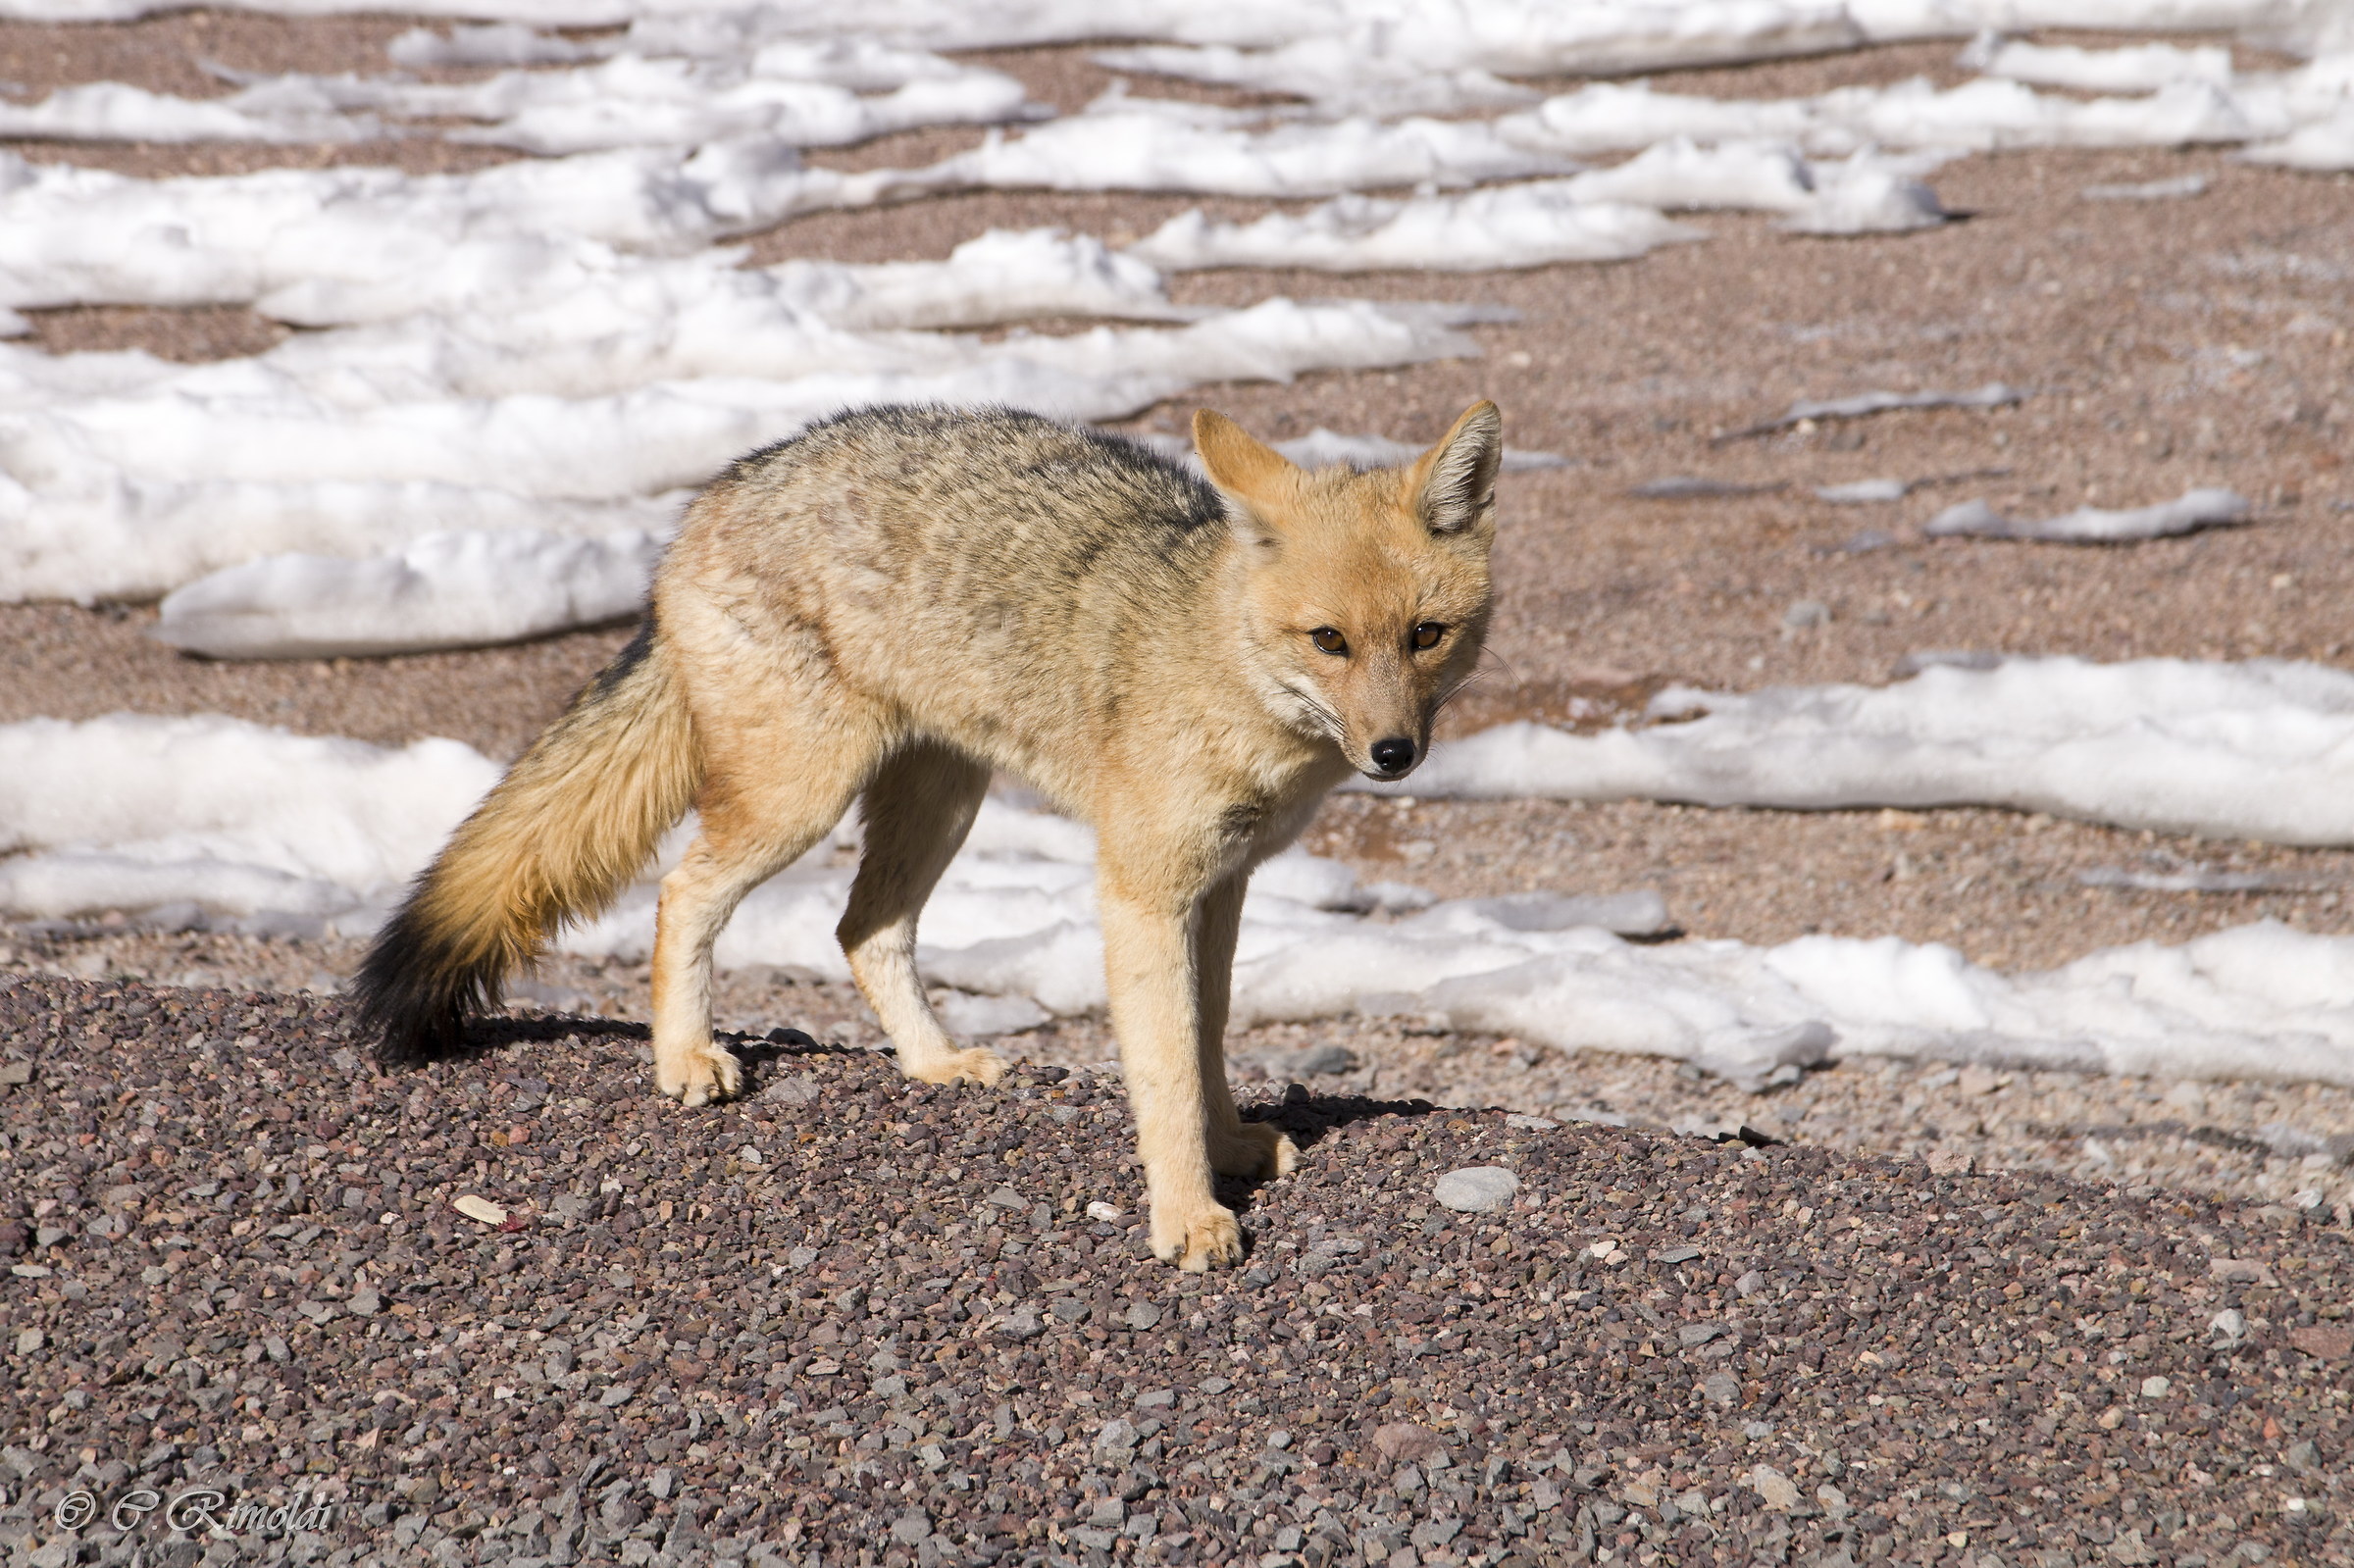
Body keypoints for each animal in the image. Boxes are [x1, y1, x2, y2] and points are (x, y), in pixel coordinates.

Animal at [353, 399, 1502, 1270]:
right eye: (1329, 641)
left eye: (1425, 636)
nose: (1395, 753)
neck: (1216, 659)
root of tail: (714, 494)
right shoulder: (1142, 892)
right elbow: (1167, 1066)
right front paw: (1188, 1215)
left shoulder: (1222, 885)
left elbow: (1207, 1034)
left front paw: (1227, 1147)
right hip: (801, 801)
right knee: (685, 893)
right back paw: (684, 1057)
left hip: (941, 800)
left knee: (861, 930)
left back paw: (933, 1063)